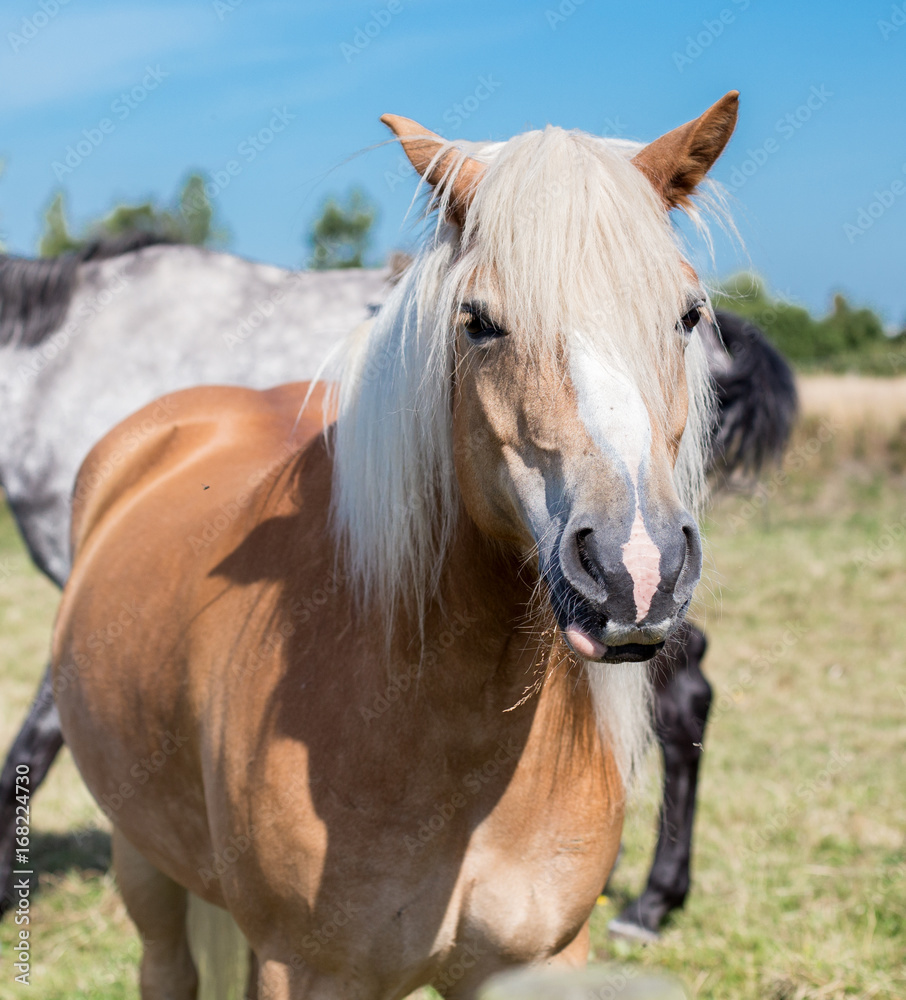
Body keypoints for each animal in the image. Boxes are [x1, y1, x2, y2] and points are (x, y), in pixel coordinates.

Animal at [53, 94, 740, 992]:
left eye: (688, 315)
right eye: (479, 322)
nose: (637, 569)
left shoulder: (537, 963)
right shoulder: (307, 971)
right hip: (144, 864)